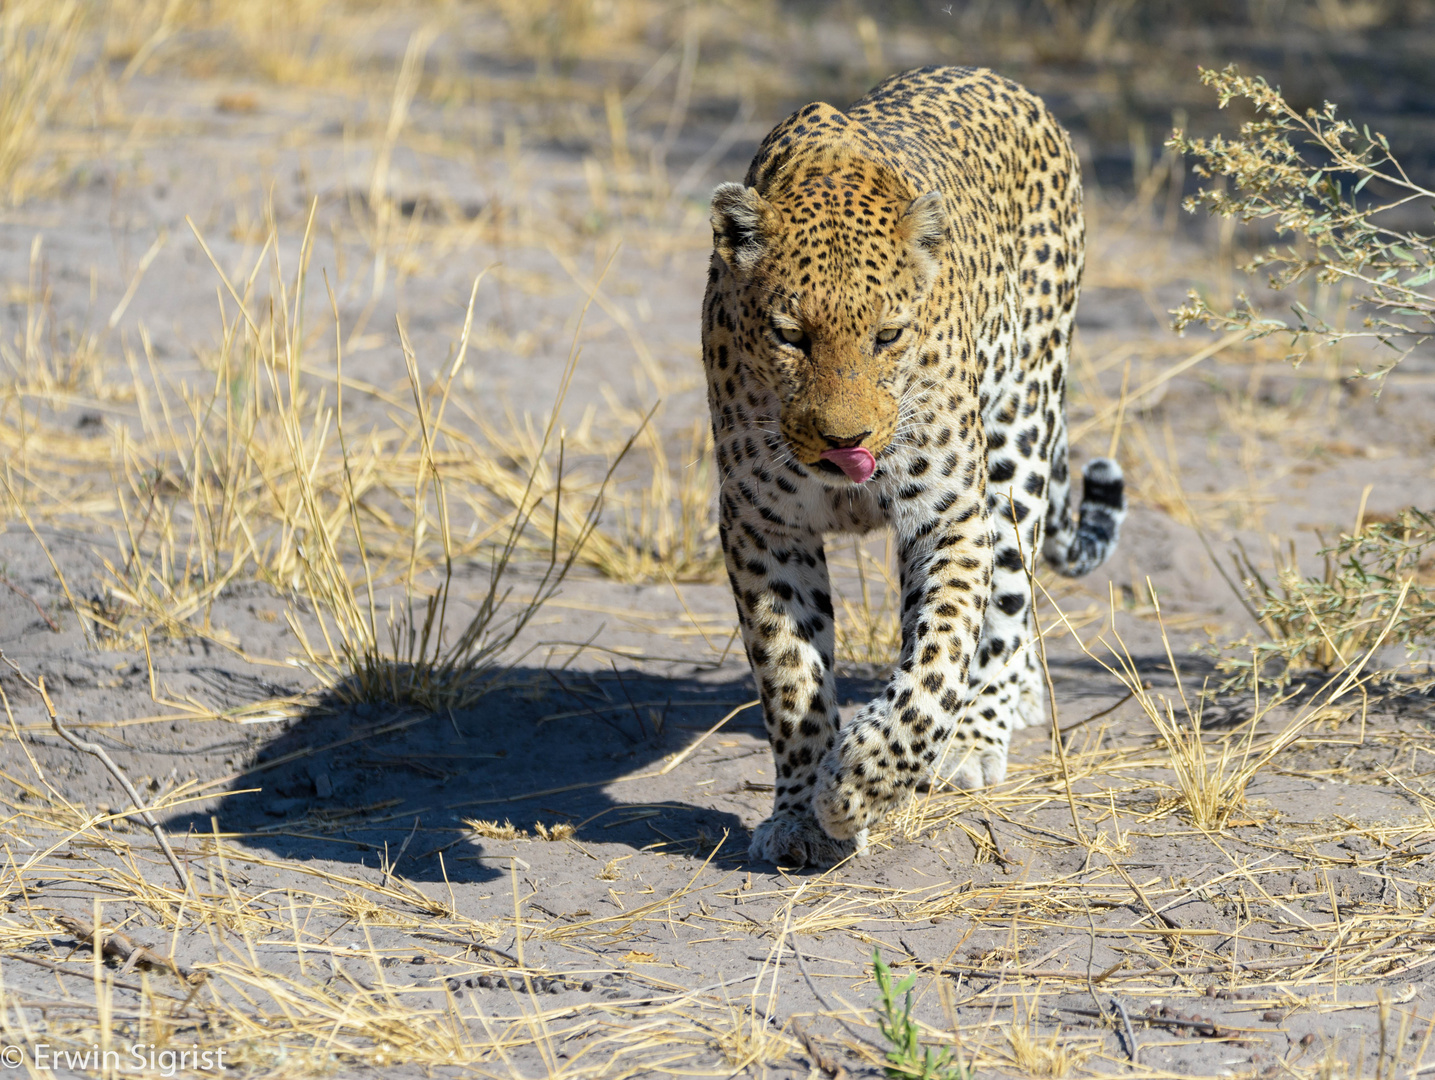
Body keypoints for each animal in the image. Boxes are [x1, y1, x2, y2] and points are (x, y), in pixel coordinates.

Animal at [700, 65, 1125, 866]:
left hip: (1019, 434)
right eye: (790, 336)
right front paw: (799, 814)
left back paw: (978, 730)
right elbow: (790, 677)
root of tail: (1002, 81)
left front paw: (862, 782)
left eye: (888, 335)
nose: (843, 440)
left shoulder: (948, 516)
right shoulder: (761, 526)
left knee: (1006, 600)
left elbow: (939, 657)